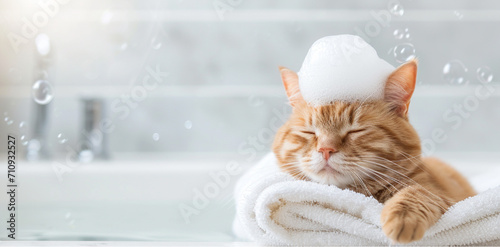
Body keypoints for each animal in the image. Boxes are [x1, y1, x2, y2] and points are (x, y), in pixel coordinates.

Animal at [276, 60, 474, 243]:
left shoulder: (445, 196)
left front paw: (403, 216)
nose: (326, 149)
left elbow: (417, 192)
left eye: (355, 131)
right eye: (309, 132)